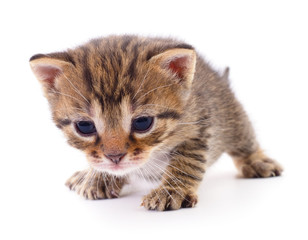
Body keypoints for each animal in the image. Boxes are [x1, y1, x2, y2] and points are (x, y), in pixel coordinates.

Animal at [30, 35, 282, 210]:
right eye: (84, 127)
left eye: (143, 122)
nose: (114, 157)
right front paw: (98, 177)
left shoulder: (199, 126)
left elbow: (187, 162)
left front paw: (171, 191)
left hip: (233, 118)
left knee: (245, 140)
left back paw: (256, 161)